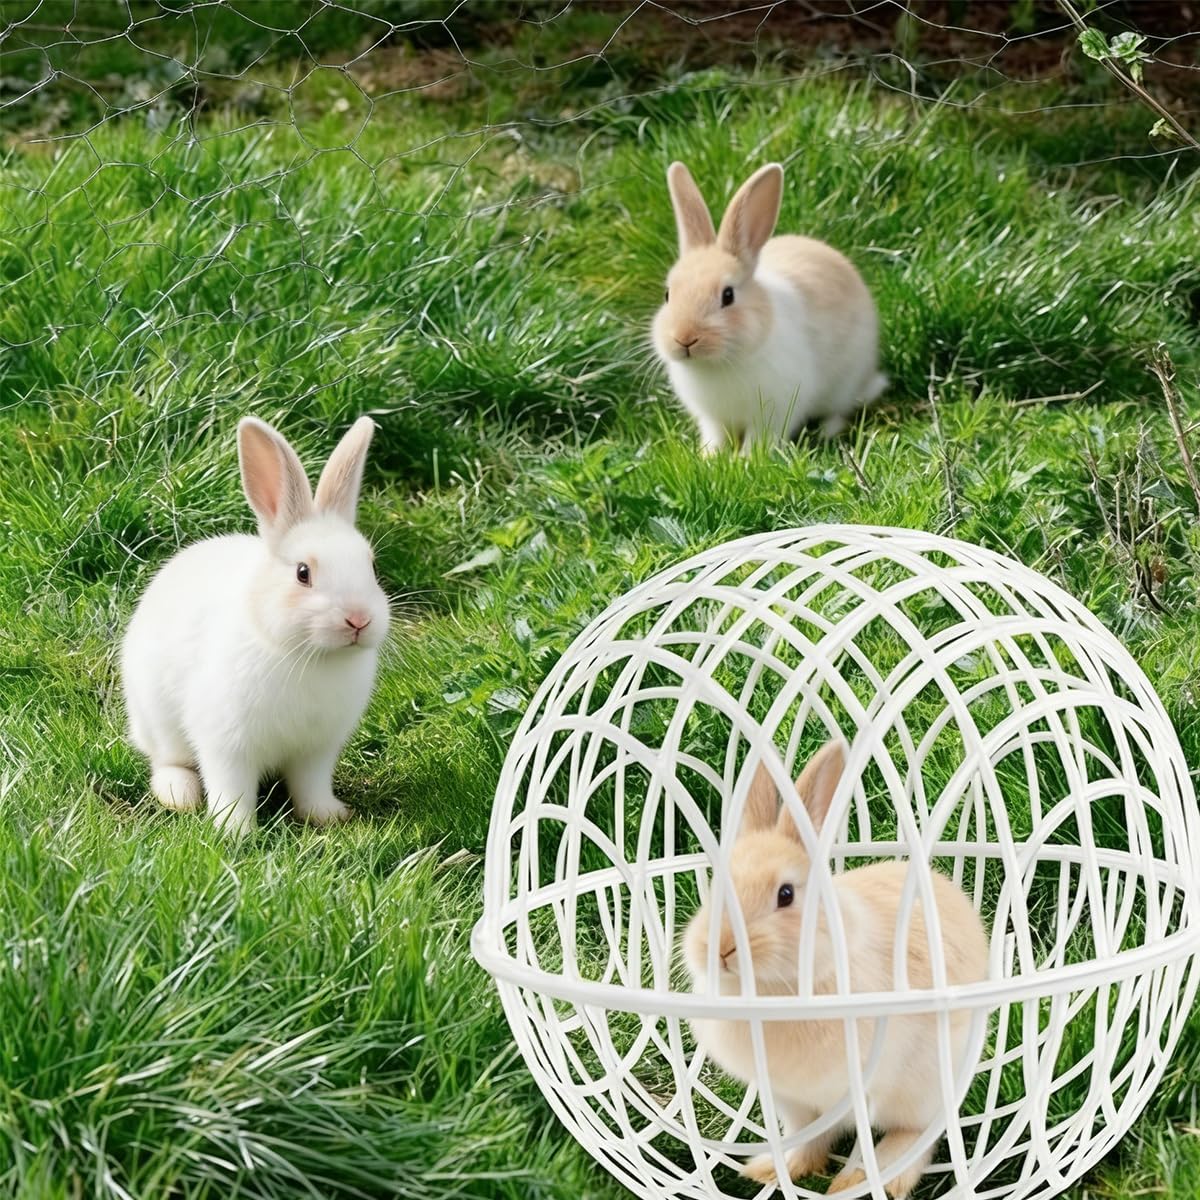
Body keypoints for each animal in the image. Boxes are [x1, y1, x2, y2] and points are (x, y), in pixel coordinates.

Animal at [120, 415, 390, 838]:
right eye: (302, 573)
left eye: (373, 568)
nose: (359, 619)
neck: (310, 657)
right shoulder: (226, 745)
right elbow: (231, 789)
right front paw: (236, 831)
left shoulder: (317, 750)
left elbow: (311, 787)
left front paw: (329, 815)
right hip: (157, 720)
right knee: (166, 761)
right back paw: (180, 795)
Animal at [652, 161, 886, 454]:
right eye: (668, 294)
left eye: (727, 295)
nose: (684, 339)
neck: (718, 363)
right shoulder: (713, 419)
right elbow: (716, 436)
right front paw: (710, 457)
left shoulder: (774, 411)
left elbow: (760, 438)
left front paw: (746, 459)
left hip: (844, 384)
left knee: (840, 411)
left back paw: (826, 432)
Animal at [683, 740, 988, 1198]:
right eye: (715, 889)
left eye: (786, 894)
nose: (719, 948)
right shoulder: (794, 1101)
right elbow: (809, 1137)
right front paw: (777, 1169)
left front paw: (847, 1180)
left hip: (927, 1084)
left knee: (919, 1135)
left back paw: (876, 1180)